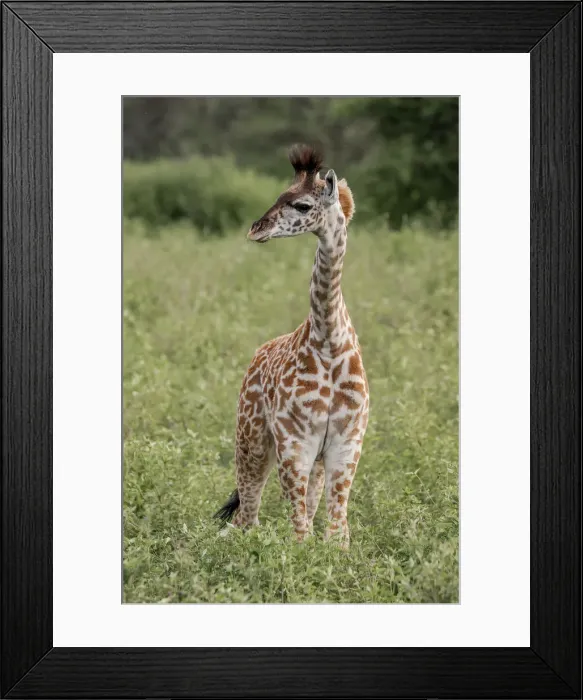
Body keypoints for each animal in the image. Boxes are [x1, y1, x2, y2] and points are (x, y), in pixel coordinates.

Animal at [214, 145, 369, 548]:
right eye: (279, 194)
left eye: (301, 204)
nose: (256, 229)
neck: (328, 342)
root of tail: (257, 354)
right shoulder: (295, 440)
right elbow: (299, 532)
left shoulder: (346, 441)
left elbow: (336, 532)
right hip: (251, 439)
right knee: (245, 518)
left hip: (309, 459)